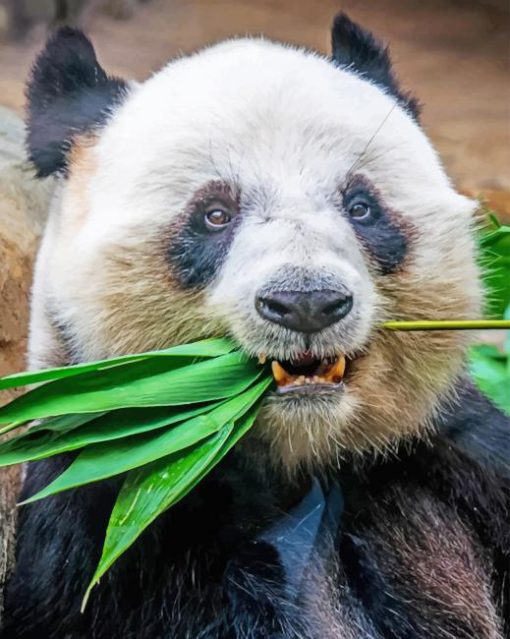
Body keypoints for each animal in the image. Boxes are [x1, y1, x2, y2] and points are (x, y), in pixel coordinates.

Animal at [0, 11, 510, 639]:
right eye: (215, 214)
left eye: (360, 206)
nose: (307, 301)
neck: (299, 454)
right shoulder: (123, 510)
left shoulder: (448, 453)